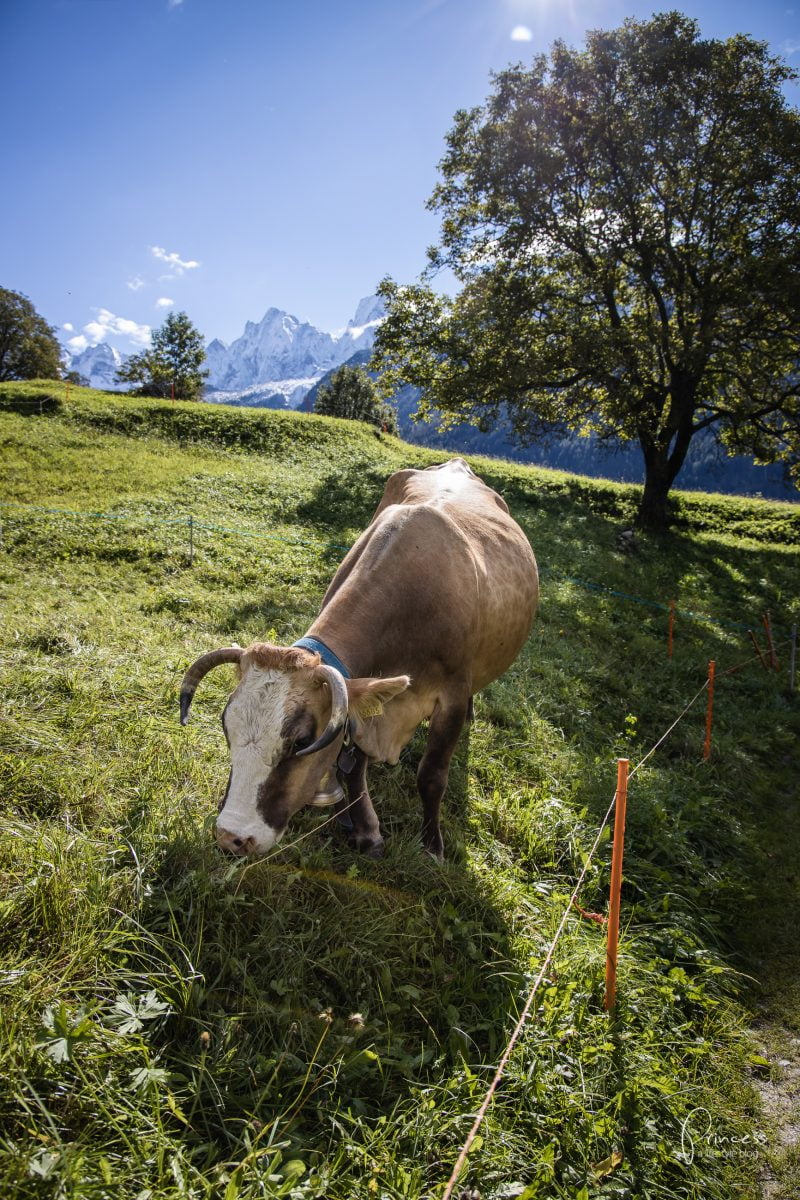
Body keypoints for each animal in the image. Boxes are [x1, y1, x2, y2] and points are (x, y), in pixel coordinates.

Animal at [178, 458, 534, 864]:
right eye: (227, 726)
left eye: (301, 740)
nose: (232, 836)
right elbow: (352, 767)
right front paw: (366, 830)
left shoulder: (452, 696)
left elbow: (431, 776)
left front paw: (432, 845)